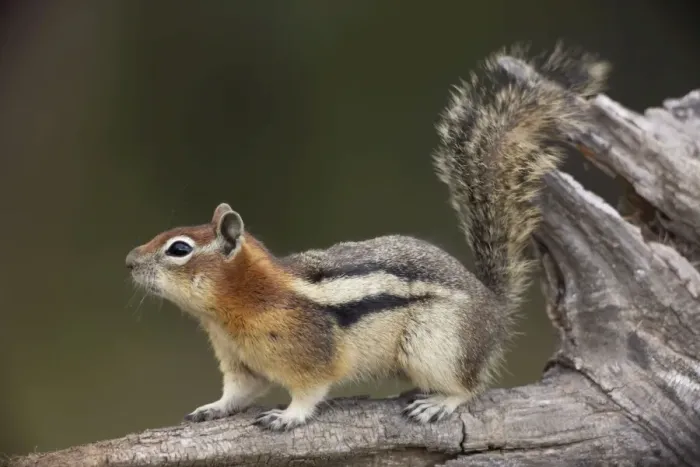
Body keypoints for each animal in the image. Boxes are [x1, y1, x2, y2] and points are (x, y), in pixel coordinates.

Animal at [125, 43, 609, 431]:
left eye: (179, 249)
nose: (128, 261)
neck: (239, 305)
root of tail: (492, 308)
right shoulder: (241, 364)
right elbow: (238, 393)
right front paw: (213, 407)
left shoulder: (311, 356)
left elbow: (310, 390)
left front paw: (289, 416)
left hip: (436, 346)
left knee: (469, 387)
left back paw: (438, 403)